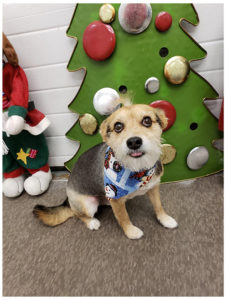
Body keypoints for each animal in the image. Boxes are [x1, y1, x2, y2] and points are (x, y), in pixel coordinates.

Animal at [33, 103, 177, 239]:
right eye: (118, 126)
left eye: (147, 120)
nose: (134, 142)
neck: (137, 168)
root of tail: (68, 200)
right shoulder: (117, 201)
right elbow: (123, 217)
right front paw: (131, 232)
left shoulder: (153, 187)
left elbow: (158, 206)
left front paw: (165, 219)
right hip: (88, 205)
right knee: (78, 214)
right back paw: (92, 222)